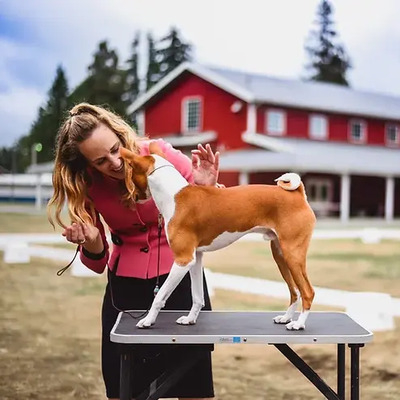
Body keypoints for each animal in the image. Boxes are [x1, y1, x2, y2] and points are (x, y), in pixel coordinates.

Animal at [119, 145, 316, 332]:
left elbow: (159, 296)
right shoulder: (195, 258)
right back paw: (286, 317)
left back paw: (298, 324)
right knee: (295, 291)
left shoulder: (183, 259)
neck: (174, 196)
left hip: (292, 254)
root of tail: (298, 193)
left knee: (307, 291)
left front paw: (148, 320)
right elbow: (197, 296)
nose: (131, 197)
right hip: (280, 255)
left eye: (129, 173)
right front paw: (190, 319)